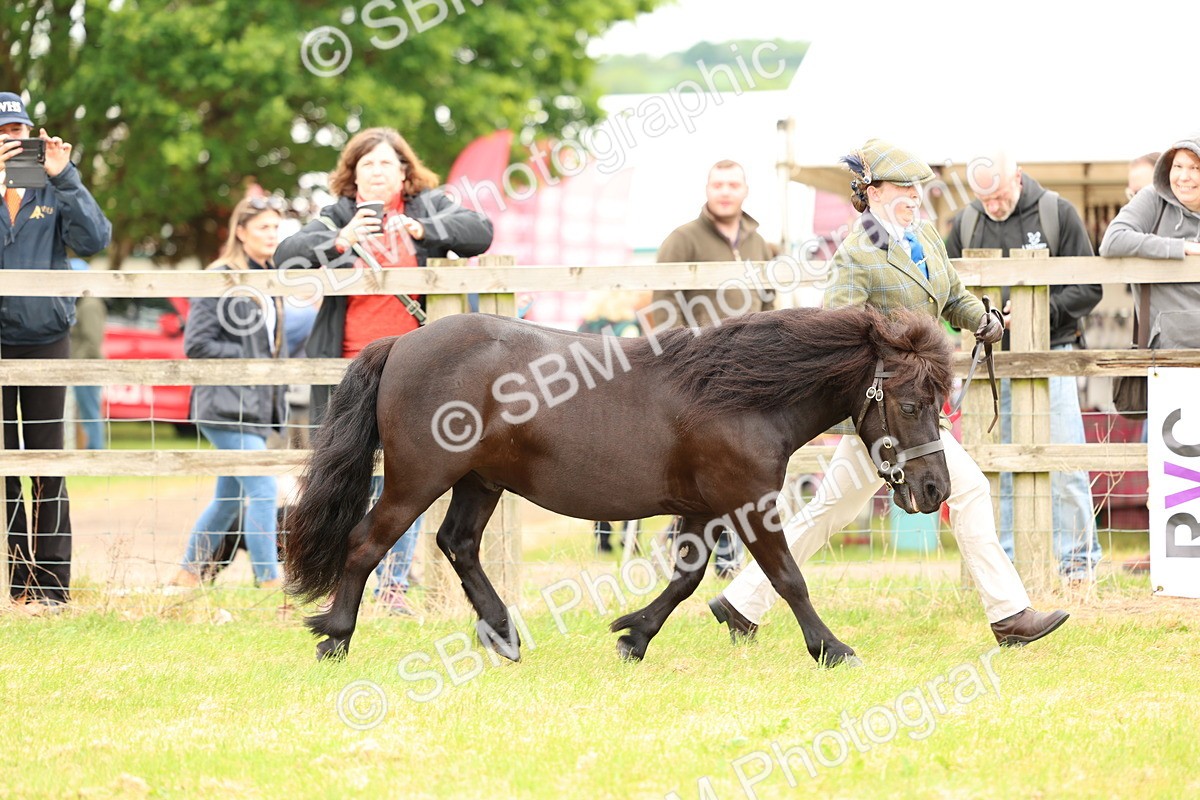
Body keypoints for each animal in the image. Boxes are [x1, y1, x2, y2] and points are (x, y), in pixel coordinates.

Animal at [284, 305, 955, 667]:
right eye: (913, 403)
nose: (934, 490)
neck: (741, 394)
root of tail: (403, 342)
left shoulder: (703, 509)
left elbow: (686, 579)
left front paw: (634, 636)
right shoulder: (747, 503)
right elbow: (788, 577)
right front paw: (832, 649)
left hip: (479, 481)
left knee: (459, 544)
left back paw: (502, 634)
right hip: (420, 478)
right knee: (367, 542)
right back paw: (335, 637)